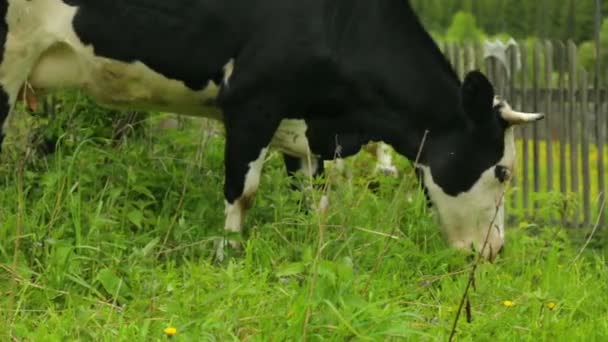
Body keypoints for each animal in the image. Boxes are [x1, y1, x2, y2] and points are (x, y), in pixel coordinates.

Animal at [0, 0, 540, 260]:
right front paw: (230, 255)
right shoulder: (251, 102)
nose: (494, 252)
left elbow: (313, 202)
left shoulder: (303, 127)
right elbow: (243, 193)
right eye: (504, 171)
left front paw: (312, 251)